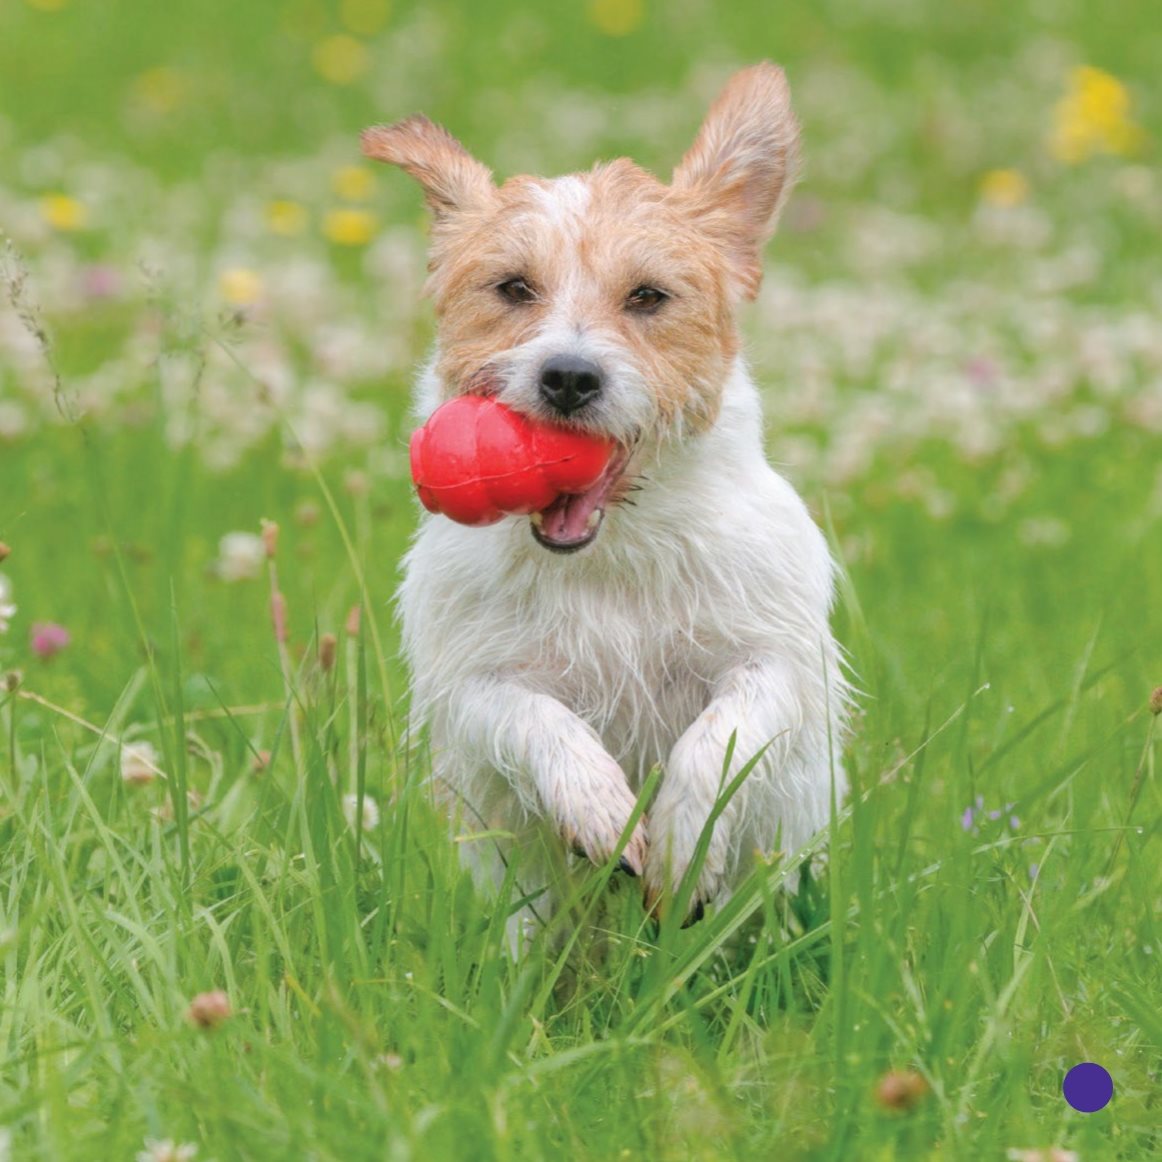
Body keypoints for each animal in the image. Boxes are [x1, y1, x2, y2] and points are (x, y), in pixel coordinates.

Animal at [364, 63, 855, 948]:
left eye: (649, 296)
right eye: (514, 288)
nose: (568, 376)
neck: (613, 557)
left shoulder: (774, 659)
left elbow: (719, 737)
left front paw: (684, 837)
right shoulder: (470, 683)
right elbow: (532, 717)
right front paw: (600, 807)